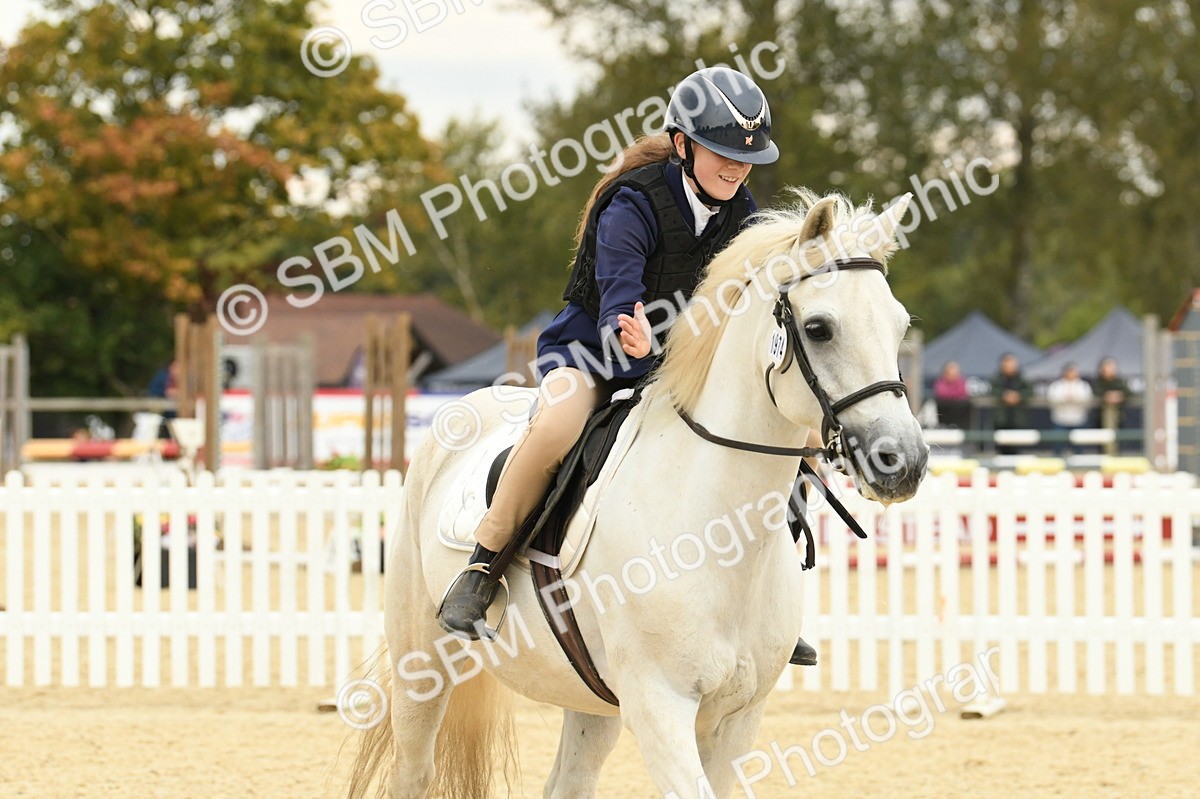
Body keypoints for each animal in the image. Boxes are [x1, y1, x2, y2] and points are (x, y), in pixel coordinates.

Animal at [345, 189, 928, 799]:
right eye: (818, 328)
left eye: (899, 326)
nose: (902, 462)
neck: (716, 531)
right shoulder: (660, 706)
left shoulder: (736, 718)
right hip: (422, 664)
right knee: (414, 771)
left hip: (592, 703)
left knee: (568, 783)